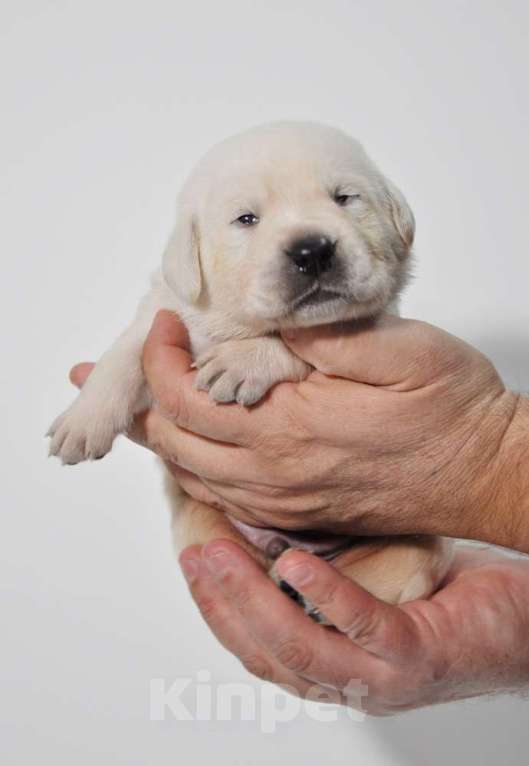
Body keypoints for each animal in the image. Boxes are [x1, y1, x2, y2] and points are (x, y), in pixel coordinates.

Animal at [47, 121, 452, 624]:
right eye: (246, 219)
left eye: (344, 198)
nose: (312, 250)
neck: (235, 323)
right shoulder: (165, 312)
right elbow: (125, 353)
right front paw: (81, 423)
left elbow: (293, 346)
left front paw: (241, 361)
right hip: (204, 523)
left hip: (417, 538)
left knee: (405, 565)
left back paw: (316, 595)